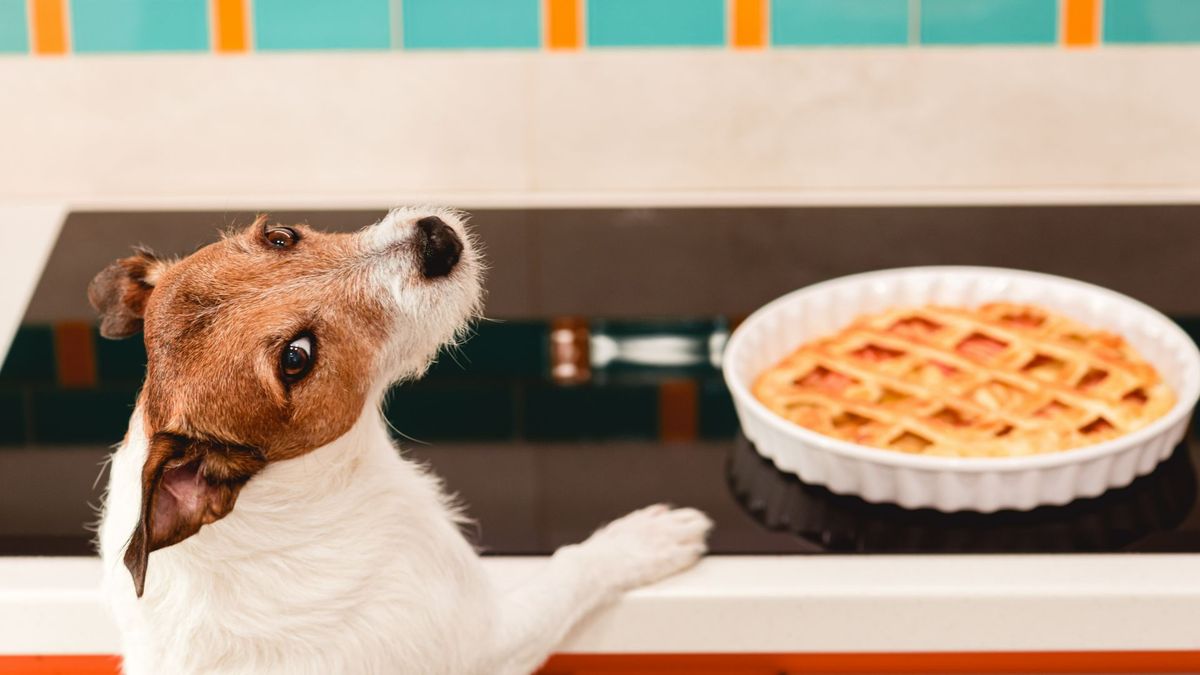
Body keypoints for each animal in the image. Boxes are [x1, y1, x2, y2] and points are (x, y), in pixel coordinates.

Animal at [93, 206, 710, 672]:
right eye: (297, 357)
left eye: (280, 235)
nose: (436, 239)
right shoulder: (486, 639)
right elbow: (572, 568)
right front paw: (642, 540)